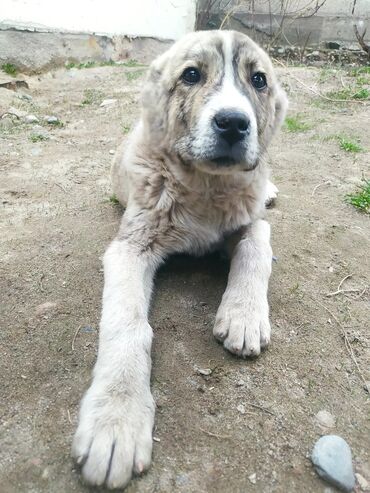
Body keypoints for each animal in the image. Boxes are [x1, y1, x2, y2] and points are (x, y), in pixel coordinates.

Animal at [71, 29, 288, 488]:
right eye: (191, 75)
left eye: (258, 80)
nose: (233, 122)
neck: (205, 186)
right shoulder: (130, 247)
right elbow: (128, 327)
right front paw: (115, 420)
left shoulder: (251, 221)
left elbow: (258, 244)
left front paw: (244, 315)